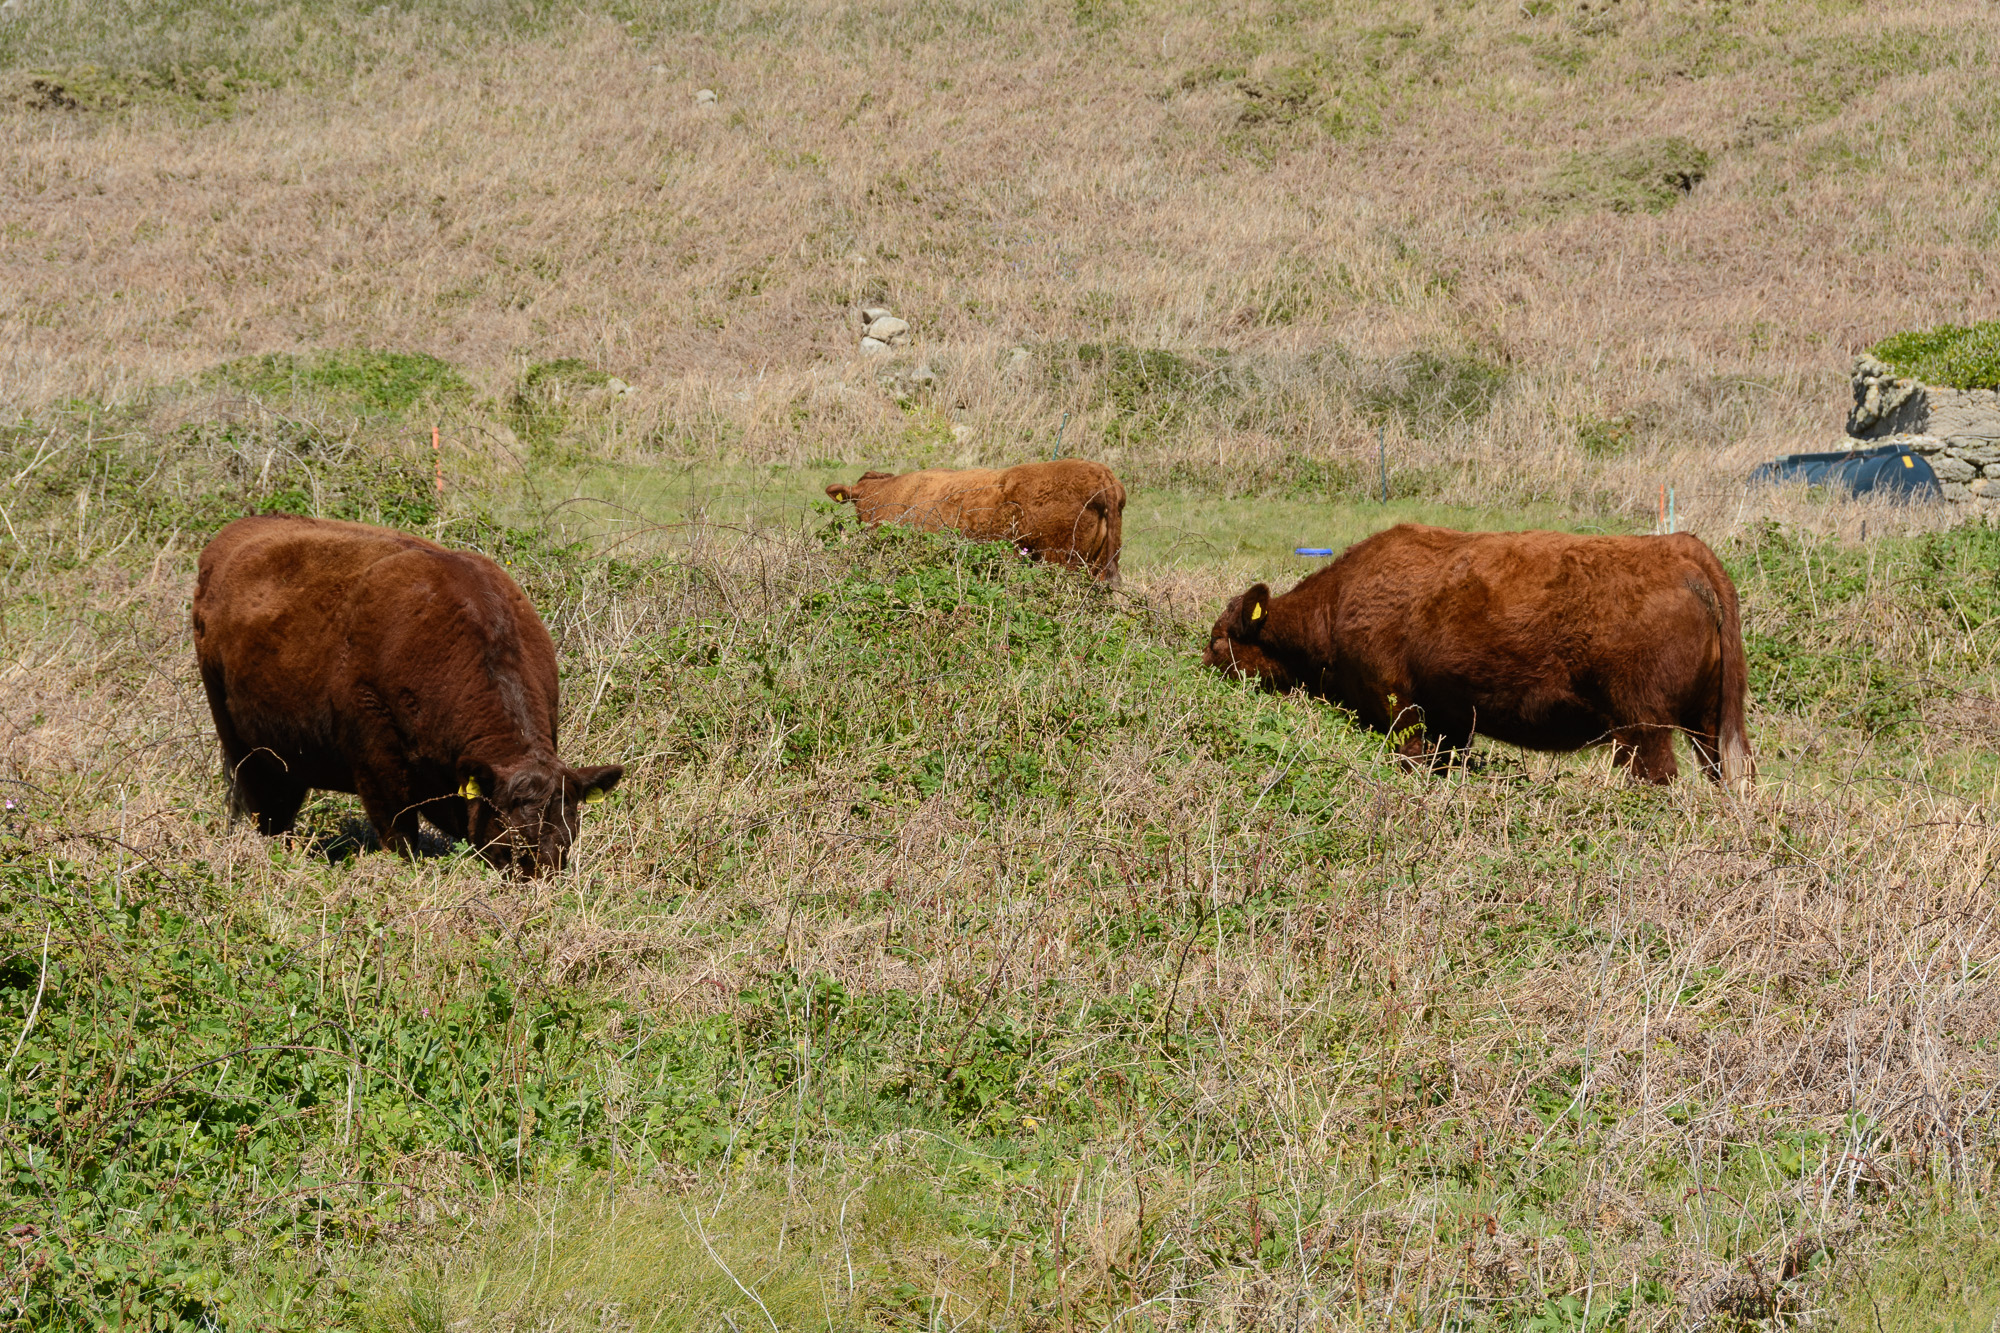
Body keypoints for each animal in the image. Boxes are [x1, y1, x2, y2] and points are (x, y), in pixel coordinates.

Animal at [196, 510, 620, 872]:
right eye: (512, 841)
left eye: (567, 838)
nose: (538, 882)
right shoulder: (379, 770)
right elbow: (400, 837)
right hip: (241, 744)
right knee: (264, 810)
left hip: (286, 756)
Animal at [1200, 524, 1752, 784]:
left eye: (1218, 639)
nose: (1201, 670)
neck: (1340, 601)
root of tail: (1681, 549)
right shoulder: (1451, 722)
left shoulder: (1402, 713)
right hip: (1707, 725)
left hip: (1643, 727)